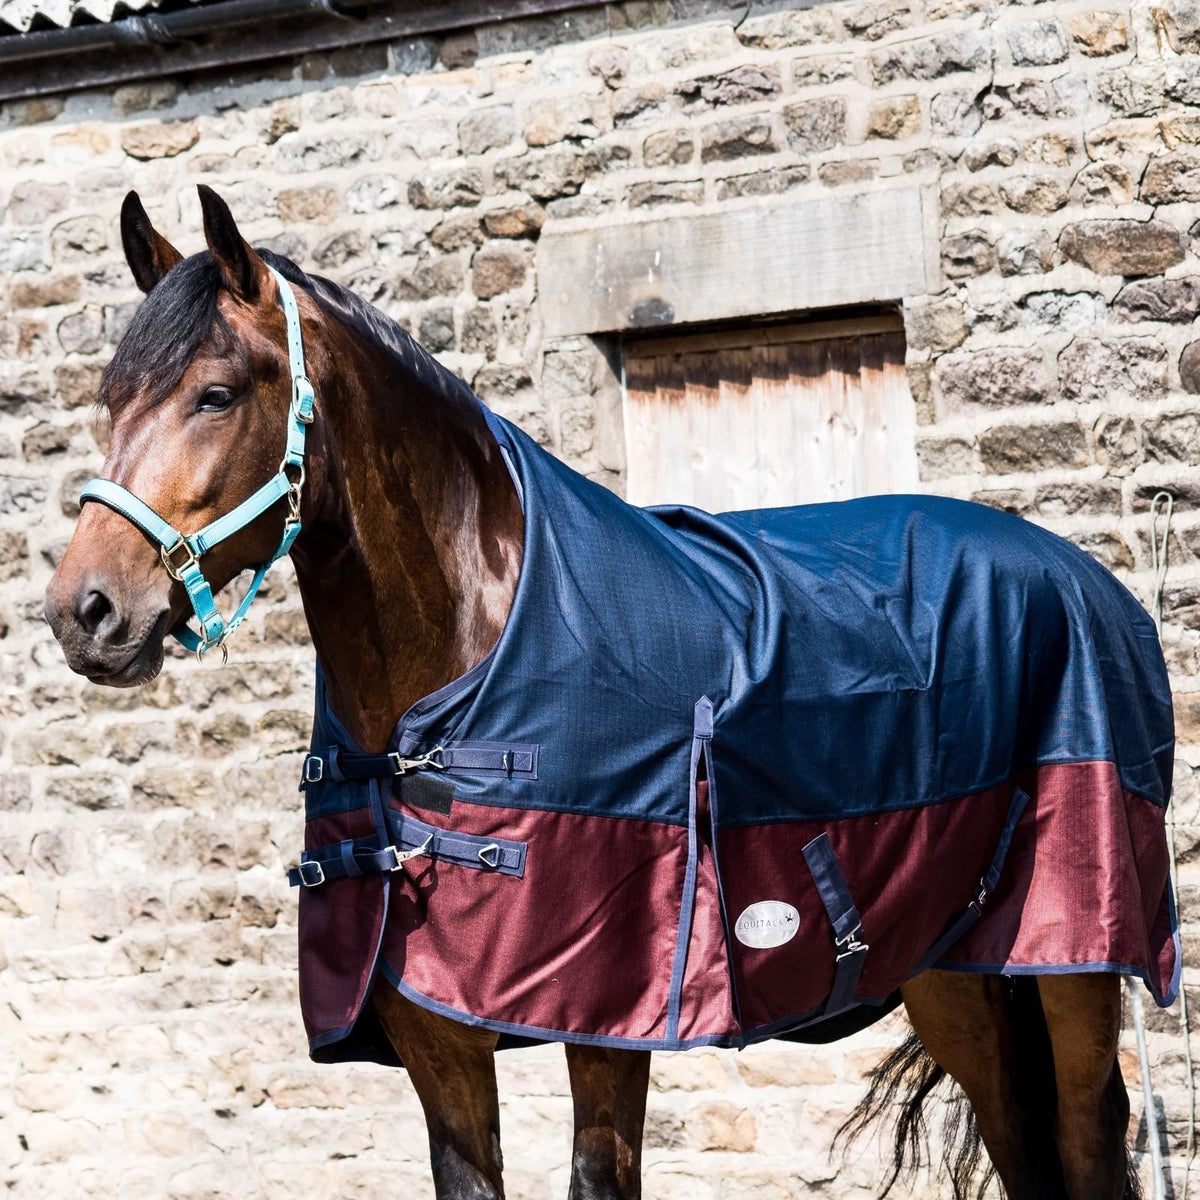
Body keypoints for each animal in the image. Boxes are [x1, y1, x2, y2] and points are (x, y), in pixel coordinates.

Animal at [44, 186, 1175, 1200]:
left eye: (218, 393)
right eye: (112, 399)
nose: (82, 611)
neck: (475, 654)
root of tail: (1087, 580)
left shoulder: (604, 1021)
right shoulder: (438, 1042)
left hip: (1073, 964)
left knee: (1087, 1142)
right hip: (952, 972)